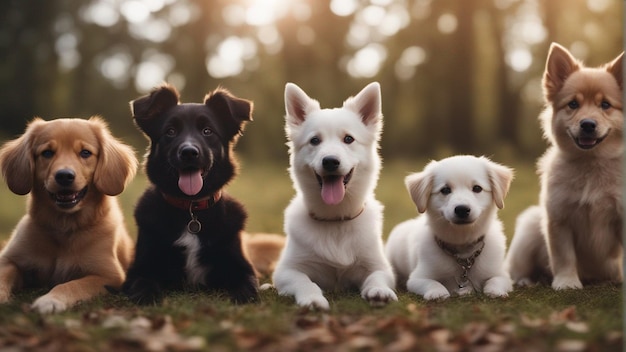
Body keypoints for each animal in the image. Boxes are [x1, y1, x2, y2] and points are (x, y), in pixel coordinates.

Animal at [0, 117, 136, 312]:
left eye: (85, 153)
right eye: (47, 153)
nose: (64, 176)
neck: (63, 226)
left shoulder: (109, 275)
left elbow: (72, 285)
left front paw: (51, 300)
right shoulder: (8, 259)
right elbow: (5, 273)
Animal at [120, 84, 258, 304]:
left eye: (207, 131)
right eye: (170, 131)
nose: (189, 152)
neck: (191, 208)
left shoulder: (242, 267)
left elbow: (248, 286)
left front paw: (243, 296)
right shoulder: (139, 269)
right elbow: (143, 282)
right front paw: (146, 295)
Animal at [272, 82, 398, 308]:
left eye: (348, 139)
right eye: (314, 140)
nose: (330, 161)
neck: (335, 220)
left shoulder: (380, 267)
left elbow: (376, 277)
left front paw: (379, 291)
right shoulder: (286, 271)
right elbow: (305, 281)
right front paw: (312, 298)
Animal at [386, 156, 512, 300]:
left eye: (477, 188)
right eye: (445, 190)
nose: (462, 209)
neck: (462, 250)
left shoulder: (502, 274)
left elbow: (496, 280)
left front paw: (495, 291)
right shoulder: (417, 277)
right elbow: (432, 283)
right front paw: (437, 293)